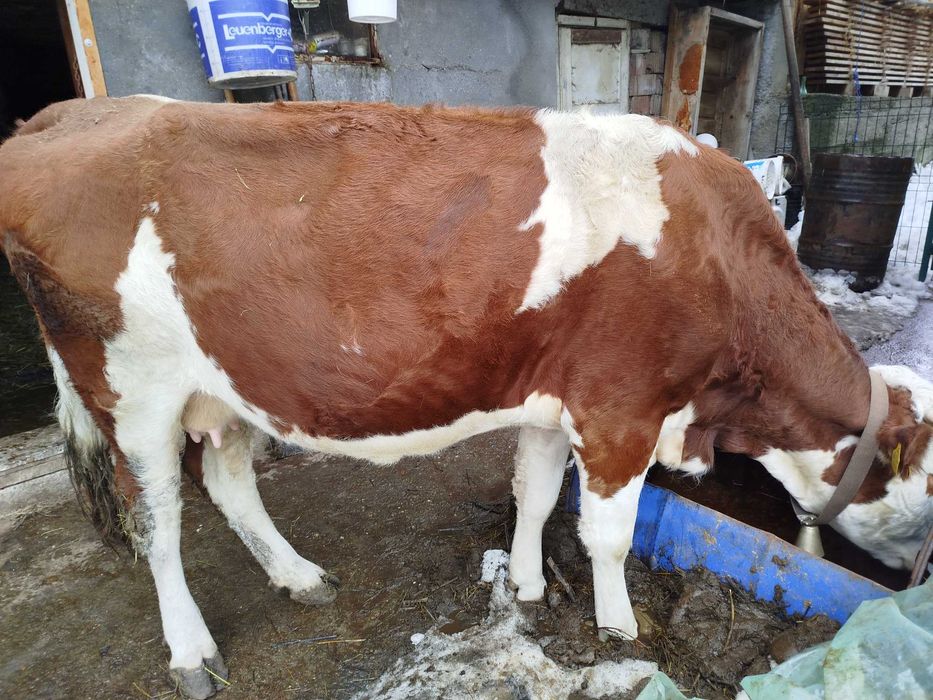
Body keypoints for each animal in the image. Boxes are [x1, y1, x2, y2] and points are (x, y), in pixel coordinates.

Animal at [1, 96, 931, 698]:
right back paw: (191, 652)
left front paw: (523, 587)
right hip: (132, 391)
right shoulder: (621, 408)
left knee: (228, 482)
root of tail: (67, 115)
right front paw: (619, 627)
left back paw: (298, 576)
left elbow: (535, 493)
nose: (911, 576)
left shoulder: (557, 397)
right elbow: (607, 534)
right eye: (925, 503)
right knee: (154, 521)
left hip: (223, 386)